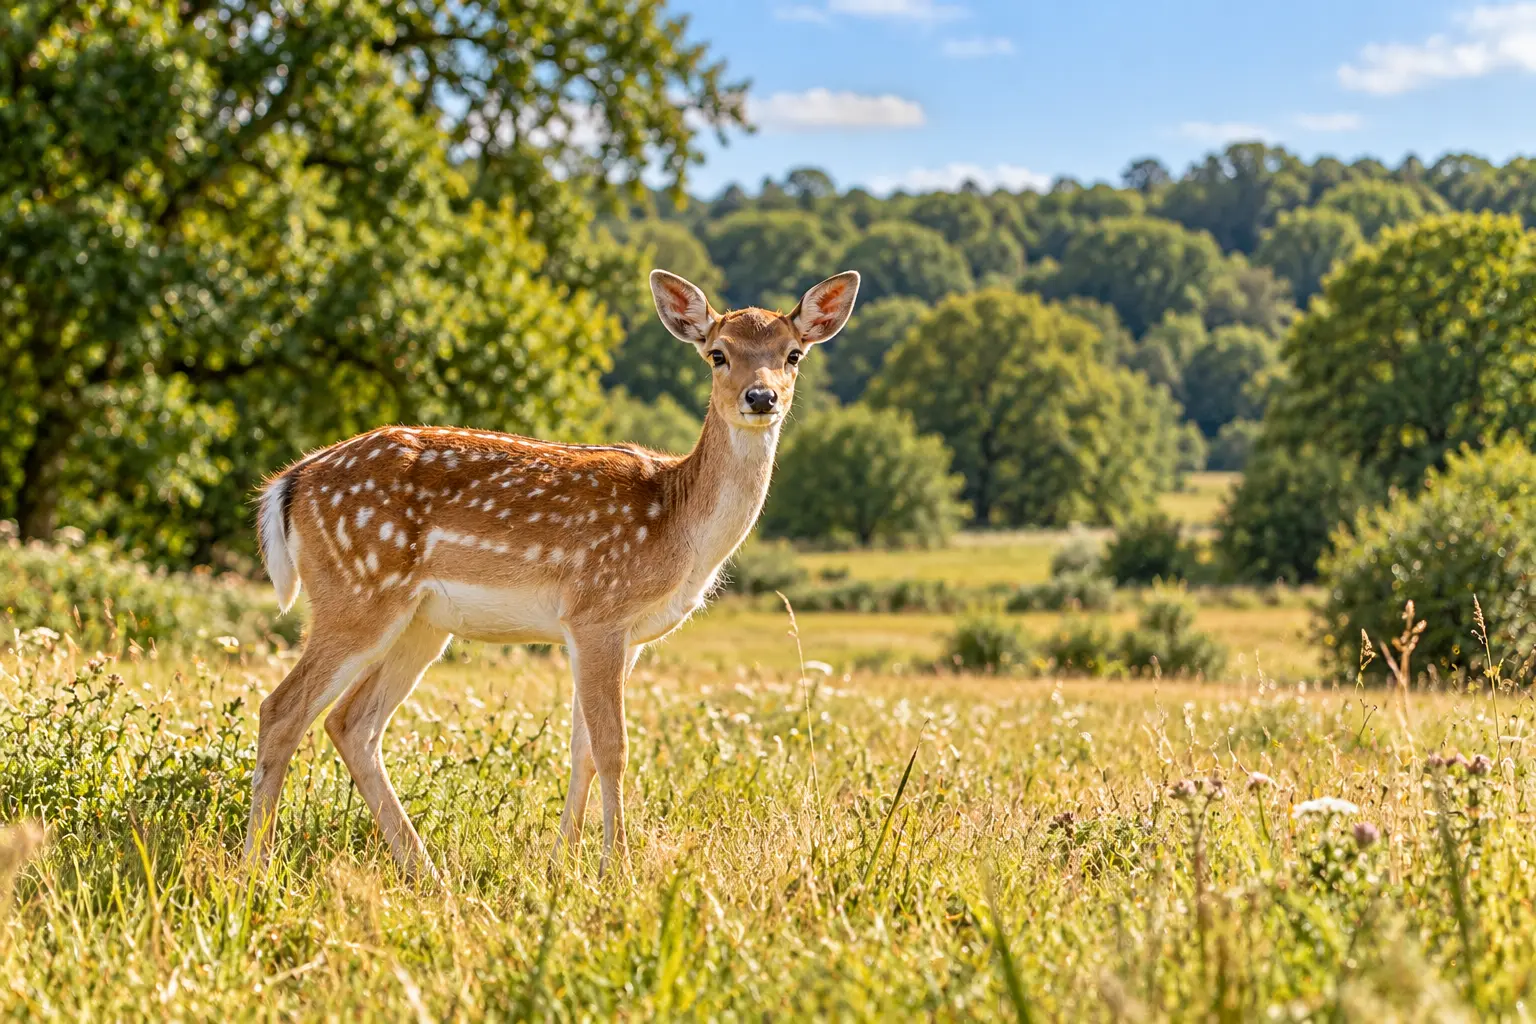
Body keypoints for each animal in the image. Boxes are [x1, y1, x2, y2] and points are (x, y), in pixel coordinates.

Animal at [247, 268, 860, 880]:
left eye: (793, 354)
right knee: (283, 709)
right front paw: (619, 868)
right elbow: (614, 747)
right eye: (717, 354)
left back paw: (428, 872)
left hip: (421, 621)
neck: (678, 525)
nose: (762, 397)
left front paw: (563, 865)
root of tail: (289, 482)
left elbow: (582, 749)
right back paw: (256, 867)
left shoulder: (624, 635)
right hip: (355, 591)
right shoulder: (597, 612)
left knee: (352, 723)